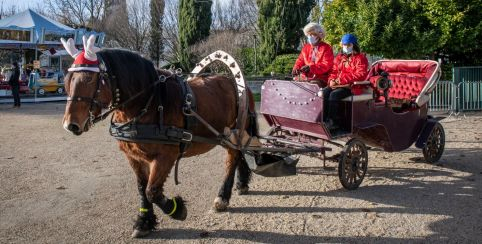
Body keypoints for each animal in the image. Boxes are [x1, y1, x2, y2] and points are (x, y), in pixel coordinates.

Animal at [63, 46, 256, 236]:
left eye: (89, 79)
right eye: (67, 80)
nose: (70, 124)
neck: (151, 101)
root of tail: (239, 85)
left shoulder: (166, 156)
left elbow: (152, 191)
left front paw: (176, 209)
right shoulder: (134, 157)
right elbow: (142, 188)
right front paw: (144, 222)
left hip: (235, 132)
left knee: (232, 160)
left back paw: (223, 196)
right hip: (231, 137)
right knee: (239, 155)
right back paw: (241, 183)